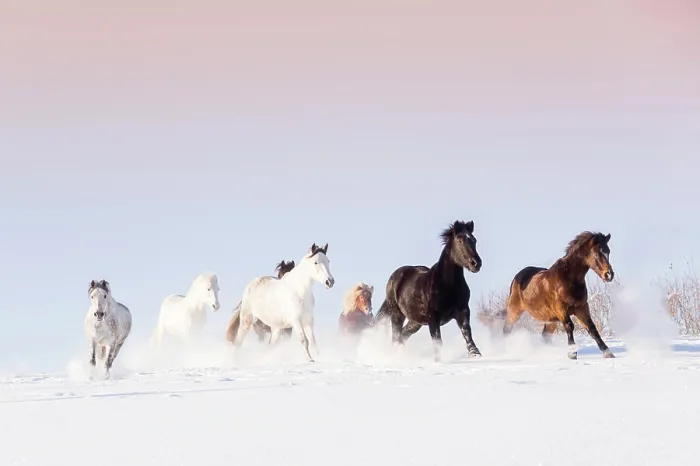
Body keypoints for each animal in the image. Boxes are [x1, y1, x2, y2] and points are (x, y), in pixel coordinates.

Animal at [375, 220, 483, 361]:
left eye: (474, 240)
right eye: (459, 240)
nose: (476, 263)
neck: (447, 285)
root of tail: (394, 277)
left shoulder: (463, 310)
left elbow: (467, 332)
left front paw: (475, 353)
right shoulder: (433, 317)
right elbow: (437, 341)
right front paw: (438, 361)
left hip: (415, 322)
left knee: (402, 336)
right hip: (397, 314)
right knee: (396, 338)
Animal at [502, 231, 615, 360]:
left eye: (608, 251)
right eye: (597, 253)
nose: (609, 275)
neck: (568, 279)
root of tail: (517, 278)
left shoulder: (581, 308)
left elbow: (592, 328)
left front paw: (608, 353)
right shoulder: (561, 309)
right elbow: (569, 326)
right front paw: (572, 354)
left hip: (551, 320)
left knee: (545, 335)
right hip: (514, 311)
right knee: (507, 329)